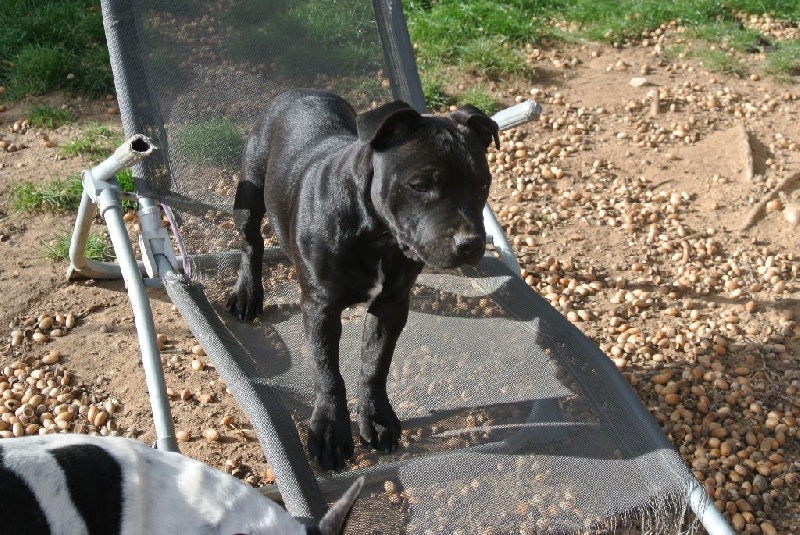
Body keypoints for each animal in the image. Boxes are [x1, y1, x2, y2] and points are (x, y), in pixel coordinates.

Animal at [227, 90, 500, 472]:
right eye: (420, 186)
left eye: (483, 185)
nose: (471, 243)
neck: (376, 234)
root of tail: (299, 92)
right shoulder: (320, 308)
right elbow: (327, 371)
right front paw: (329, 430)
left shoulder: (391, 305)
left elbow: (375, 363)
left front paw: (376, 418)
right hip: (250, 192)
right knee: (251, 241)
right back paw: (248, 293)